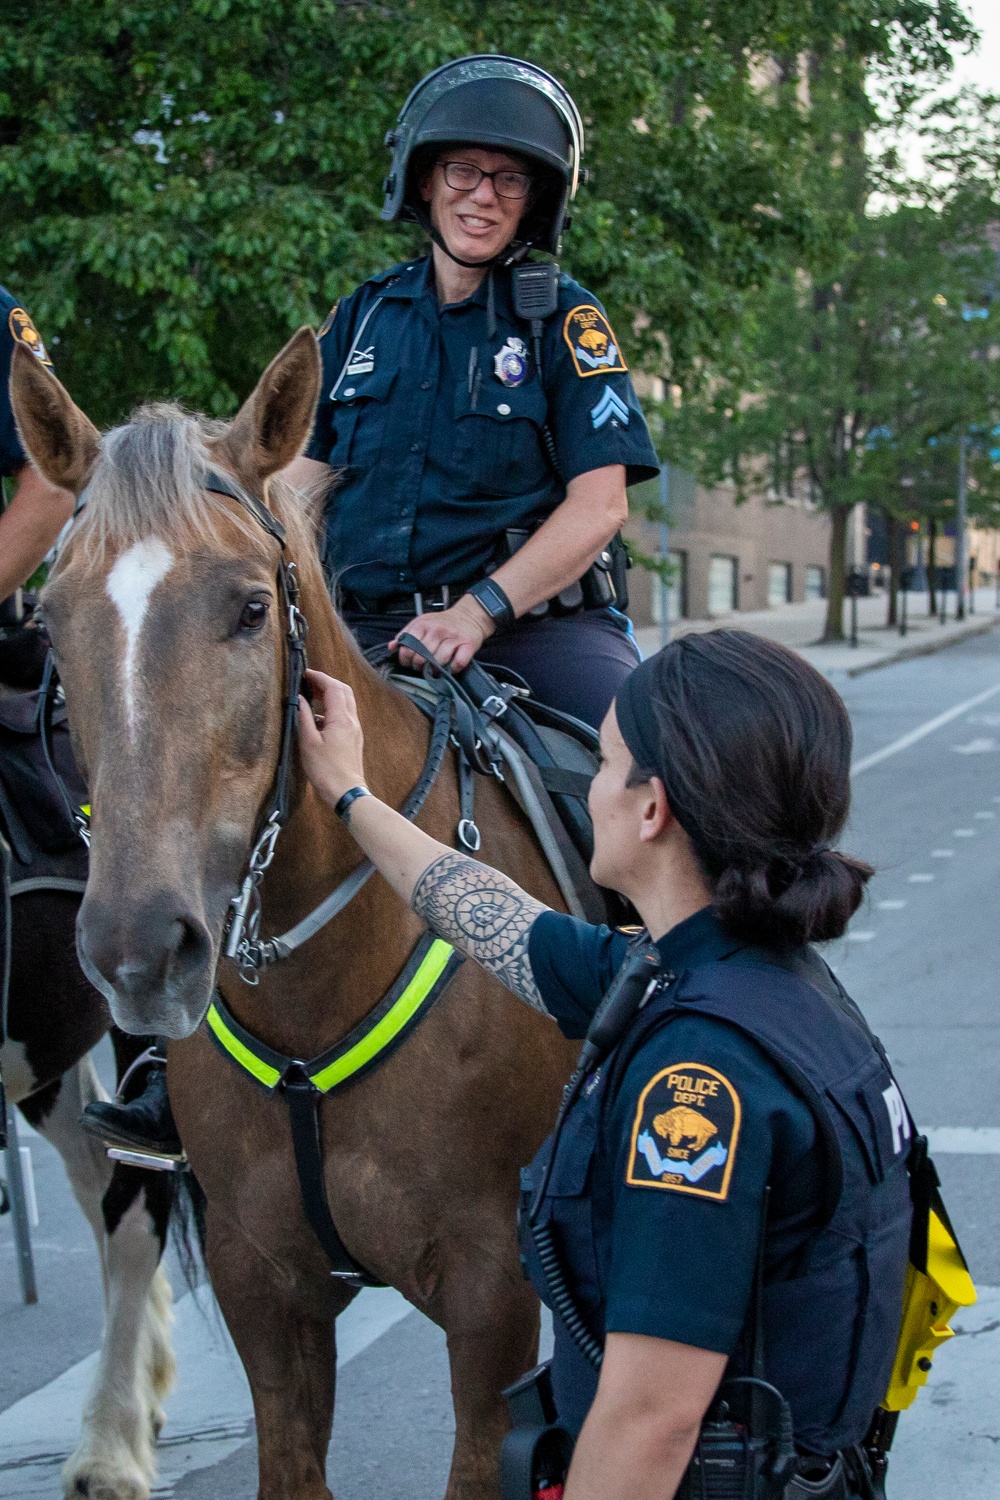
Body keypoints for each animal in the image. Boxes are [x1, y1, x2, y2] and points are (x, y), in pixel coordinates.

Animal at [9, 331, 578, 1500]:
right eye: (53, 621)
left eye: (250, 609)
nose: (139, 952)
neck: (318, 991)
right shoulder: (263, 1289)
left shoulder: (493, 1303)